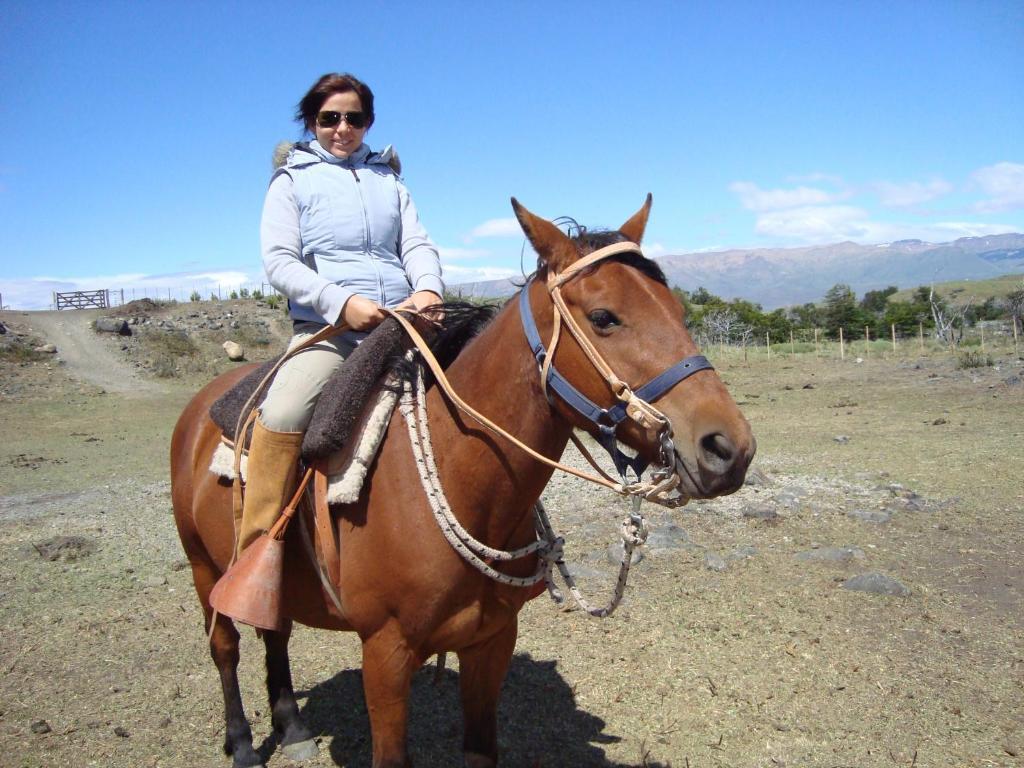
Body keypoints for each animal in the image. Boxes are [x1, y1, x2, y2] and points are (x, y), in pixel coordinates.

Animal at [172, 195, 757, 765]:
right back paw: (243, 744)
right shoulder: (385, 655)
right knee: (226, 646)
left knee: (274, 629)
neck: (456, 479)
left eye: (679, 311)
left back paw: (292, 727)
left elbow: (481, 748)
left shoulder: (490, 644)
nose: (729, 448)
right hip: (204, 566)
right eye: (604, 317)